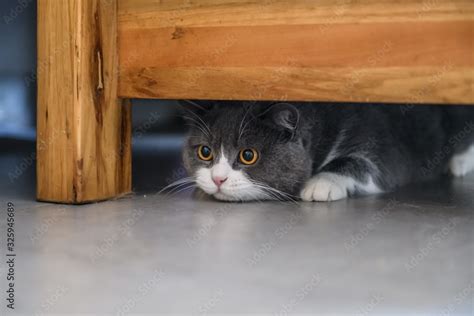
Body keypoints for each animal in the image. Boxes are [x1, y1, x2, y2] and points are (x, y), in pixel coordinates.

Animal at [181, 101, 474, 202]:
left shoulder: (385, 147)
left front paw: (320, 184)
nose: (218, 179)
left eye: (248, 155)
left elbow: (368, 165)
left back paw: (459, 163)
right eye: (205, 151)